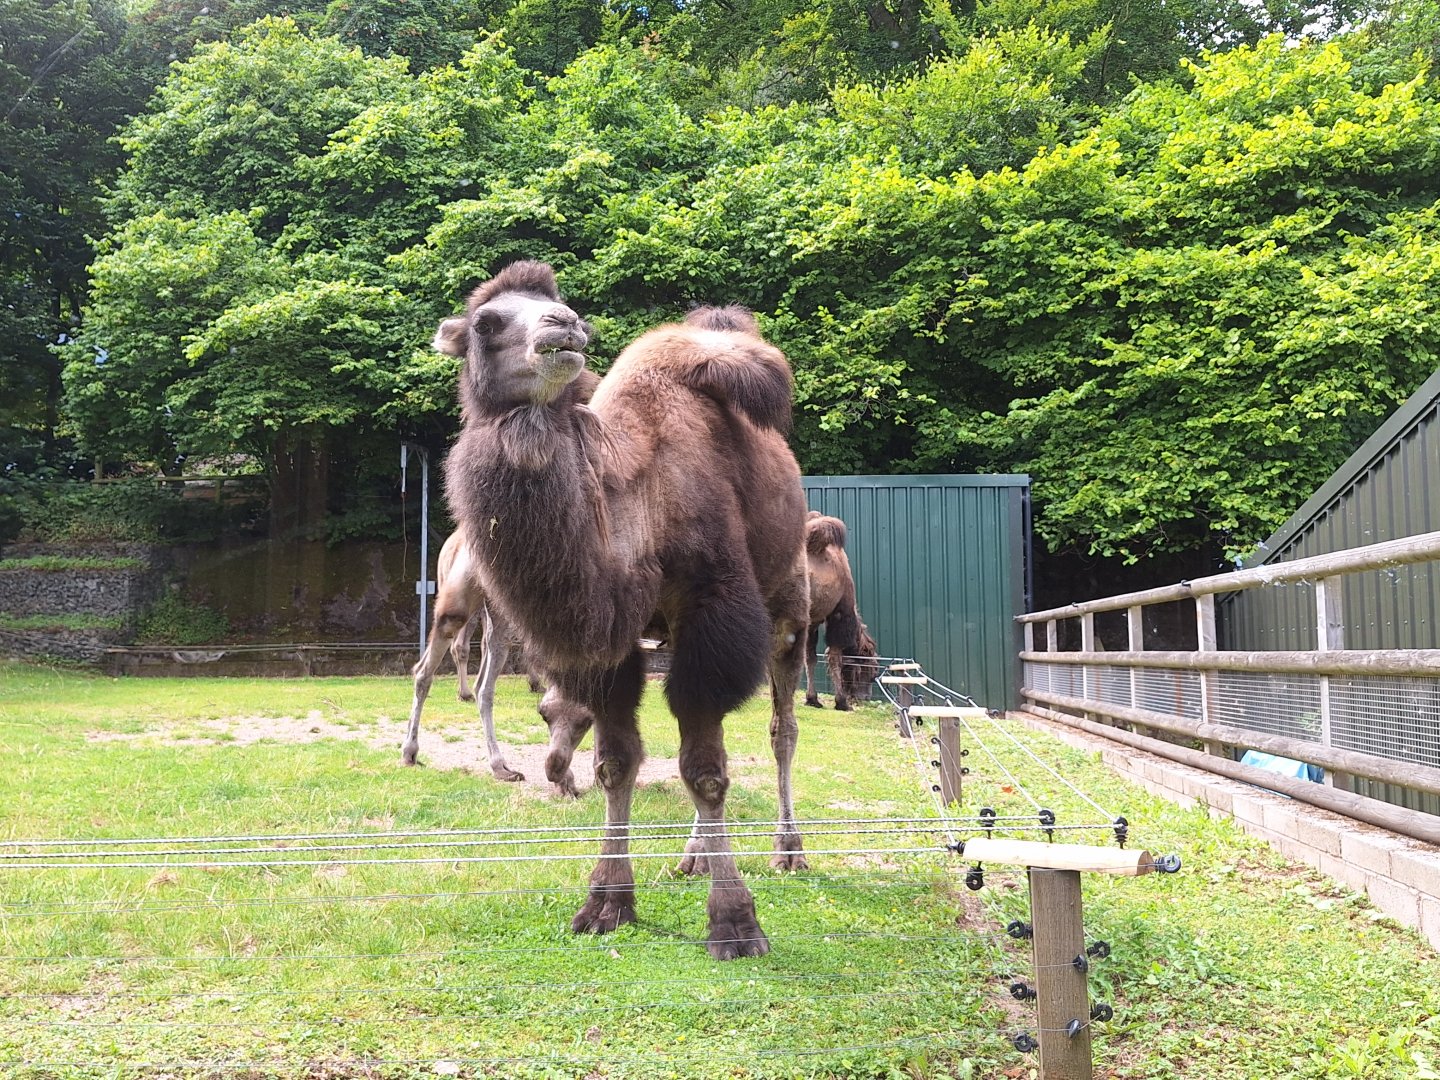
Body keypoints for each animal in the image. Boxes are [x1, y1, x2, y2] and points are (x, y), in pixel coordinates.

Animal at [434, 261, 810, 959]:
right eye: (487, 322)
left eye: (561, 309)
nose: (564, 326)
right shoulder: (607, 644)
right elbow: (616, 765)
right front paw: (606, 903)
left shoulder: (713, 613)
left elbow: (705, 770)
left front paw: (735, 922)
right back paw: (692, 857)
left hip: (787, 610)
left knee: (781, 730)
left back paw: (789, 850)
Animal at [802, 512, 880, 711]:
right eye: (871, 673)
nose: (865, 697)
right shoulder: (840, 611)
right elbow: (836, 656)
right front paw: (842, 702)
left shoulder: (812, 622)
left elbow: (810, 657)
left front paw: (812, 699)